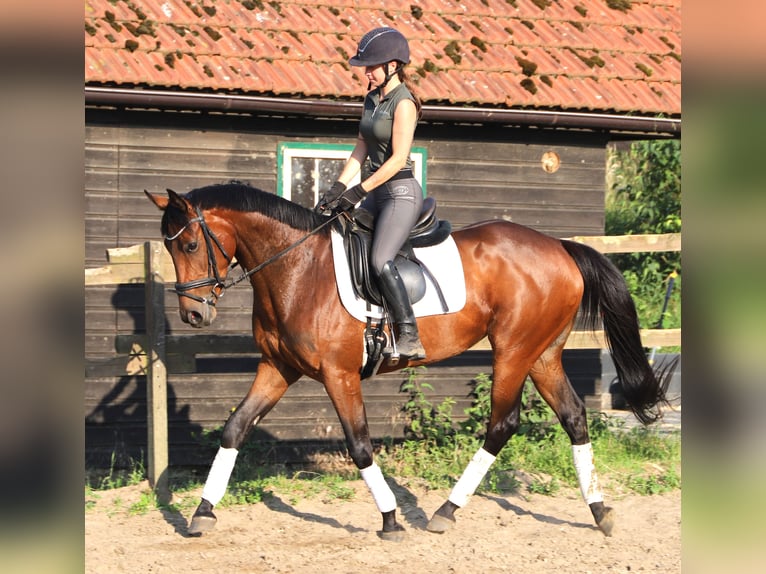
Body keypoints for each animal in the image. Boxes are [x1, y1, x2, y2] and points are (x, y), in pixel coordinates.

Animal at [145, 181, 675, 540]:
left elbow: (360, 446)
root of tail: (559, 247)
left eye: (190, 244)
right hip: (543, 354)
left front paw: (390, 519)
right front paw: (202, 513)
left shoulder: (339, 375)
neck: (297, 269)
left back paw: (445, 512)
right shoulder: (278, 368)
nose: (194, 314)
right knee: (574, 416)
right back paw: (600, 512)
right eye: (169, 246)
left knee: (502, 424)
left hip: (514, 350)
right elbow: (235, 428)